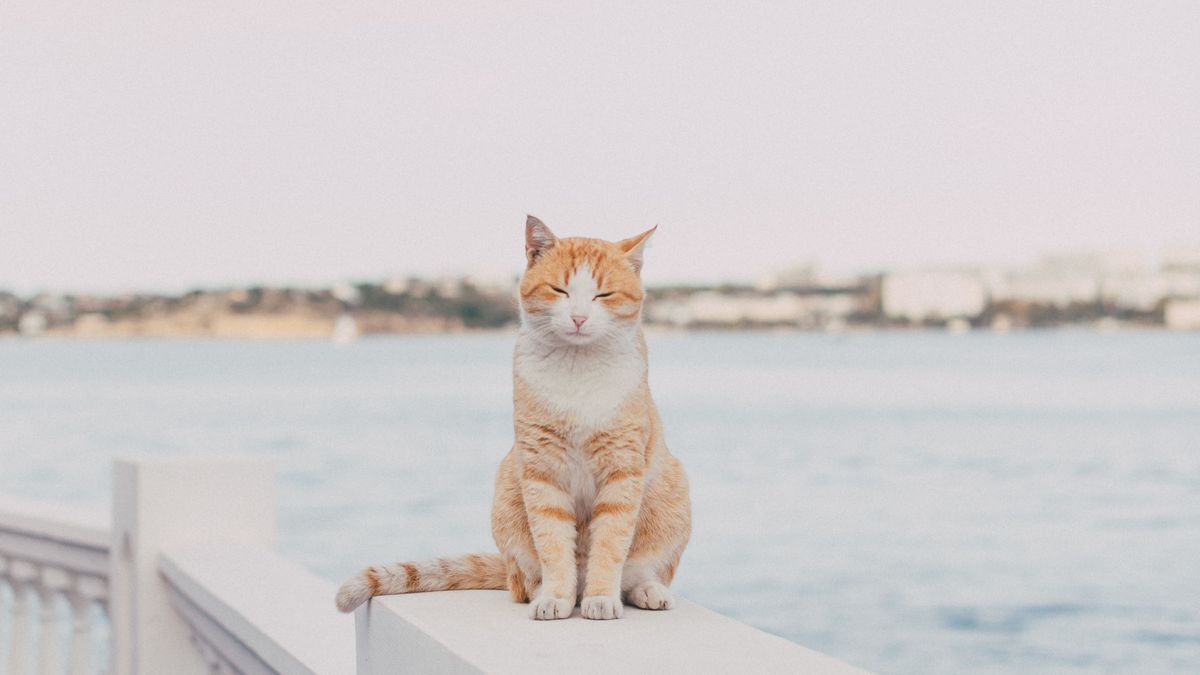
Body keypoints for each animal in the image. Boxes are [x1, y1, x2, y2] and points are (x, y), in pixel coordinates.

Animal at [338, 214, 696, 619]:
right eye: (559, 290)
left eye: (603, 295)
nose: (578, 318)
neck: (577, 368)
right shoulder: (541, 471)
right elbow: (553, 545)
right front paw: (555, 597)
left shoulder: (621, 470)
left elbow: (609, 545)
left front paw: (602, 597)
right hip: (508, 492)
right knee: (524, 581)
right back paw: (550, 592)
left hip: (672, 493)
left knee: (639, 572)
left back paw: (646, 590)